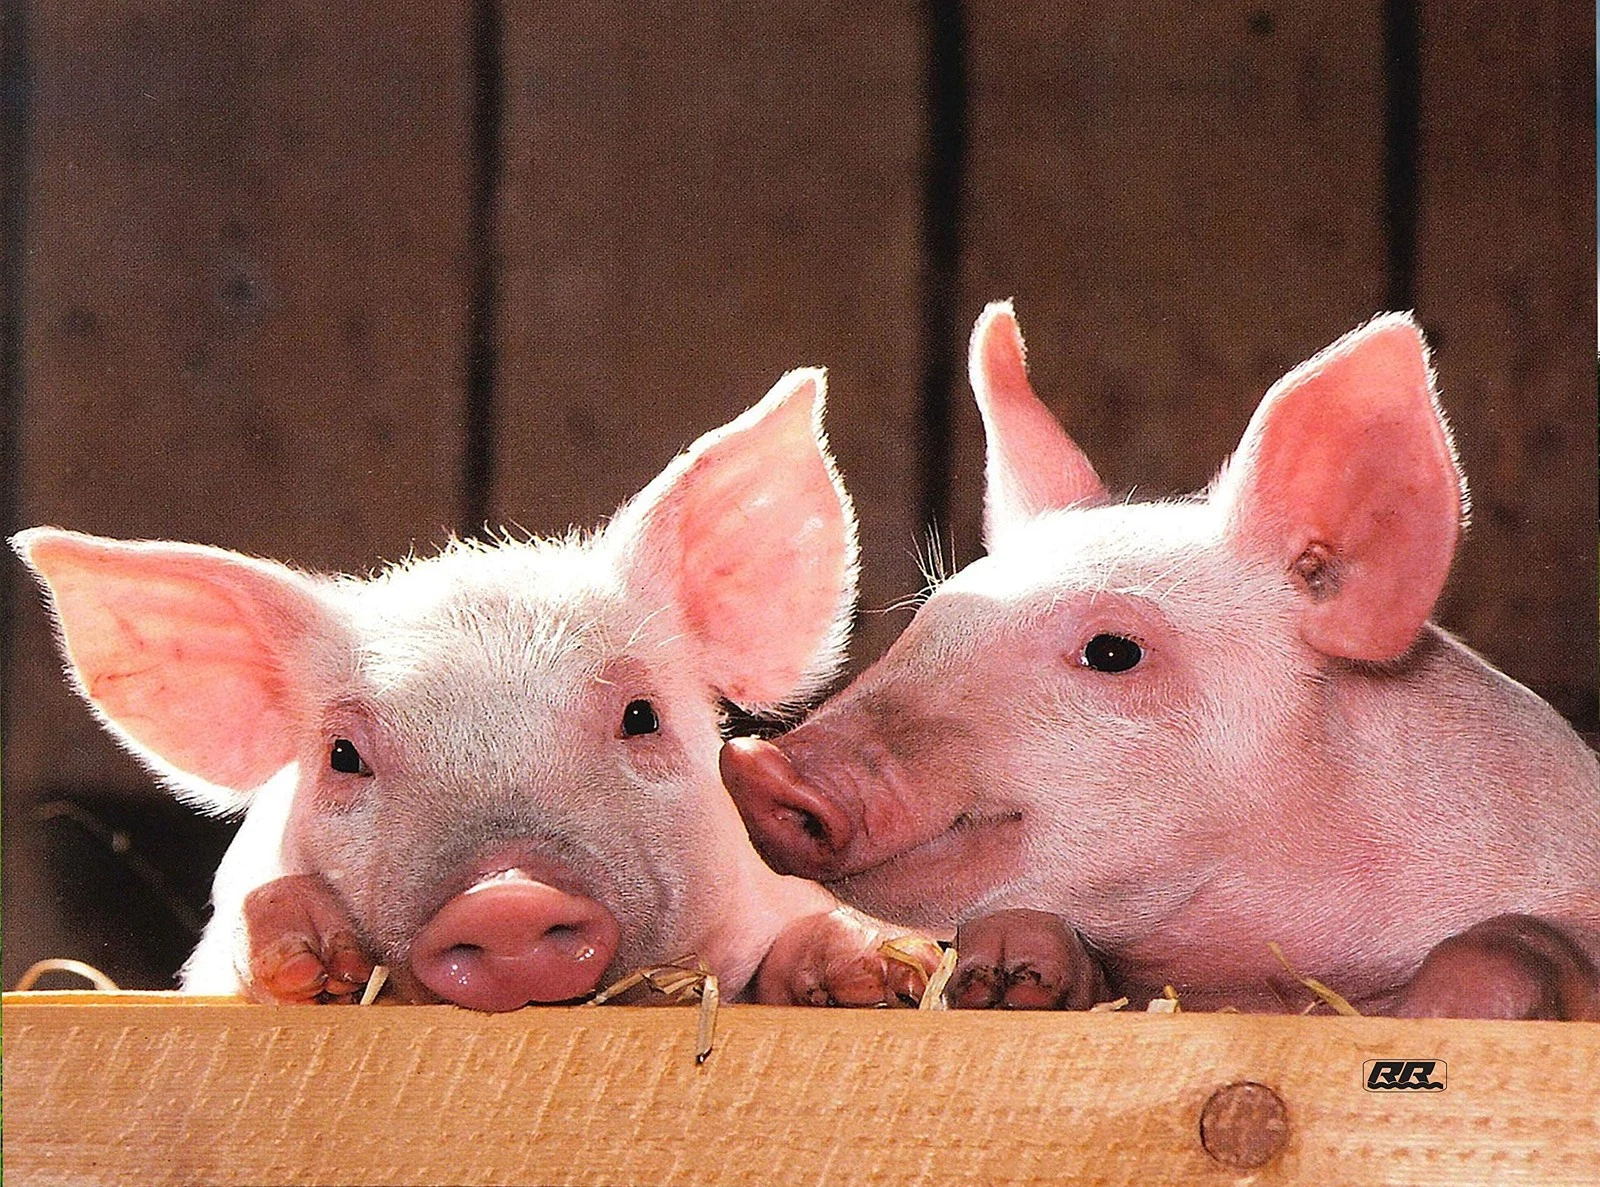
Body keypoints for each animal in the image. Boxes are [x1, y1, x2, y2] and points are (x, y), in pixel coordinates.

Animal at [722, 303, 1600, 1019]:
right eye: (933, 619)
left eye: (1113, 650)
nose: (758, 765)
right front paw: (1003, 967)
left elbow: (1519, 941)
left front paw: (1439, 1013)